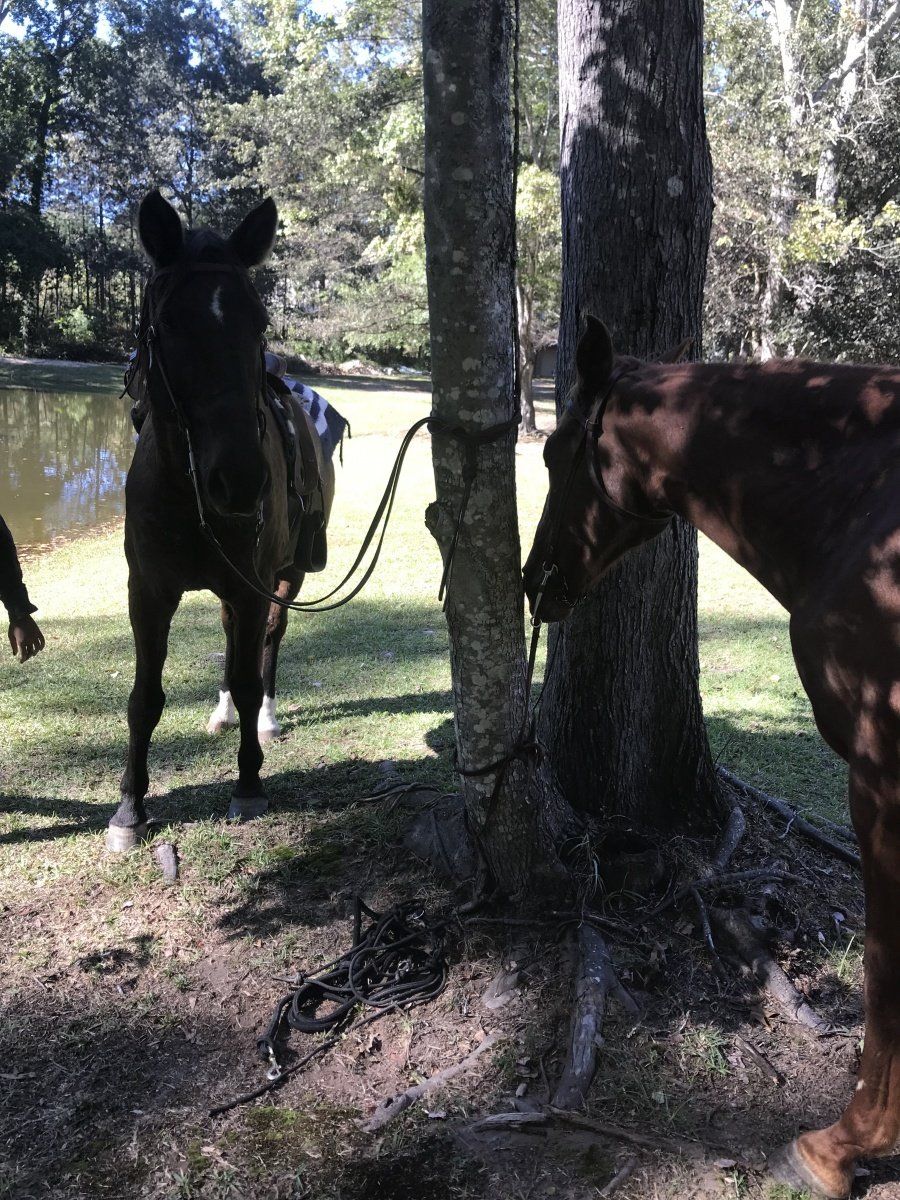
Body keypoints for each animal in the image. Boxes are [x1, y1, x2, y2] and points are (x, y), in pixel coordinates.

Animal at [107, 190, 334, 853]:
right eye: (168, 326)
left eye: (257, 323)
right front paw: (129, 809)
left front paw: (249, 783)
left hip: (284, 577)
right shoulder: (148, 593)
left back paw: (264, 719)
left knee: (265, 645)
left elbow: (253, 667)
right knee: (233, 643)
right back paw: (223, 710)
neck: (188, 497)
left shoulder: (254, 585)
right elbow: (143, 699)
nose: (239, 479)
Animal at [523, 315, 900, 1199]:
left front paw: (839, 1147)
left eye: (555, 453)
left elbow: (887, 974)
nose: (532, 580)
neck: (855, 498)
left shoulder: (881, 777)